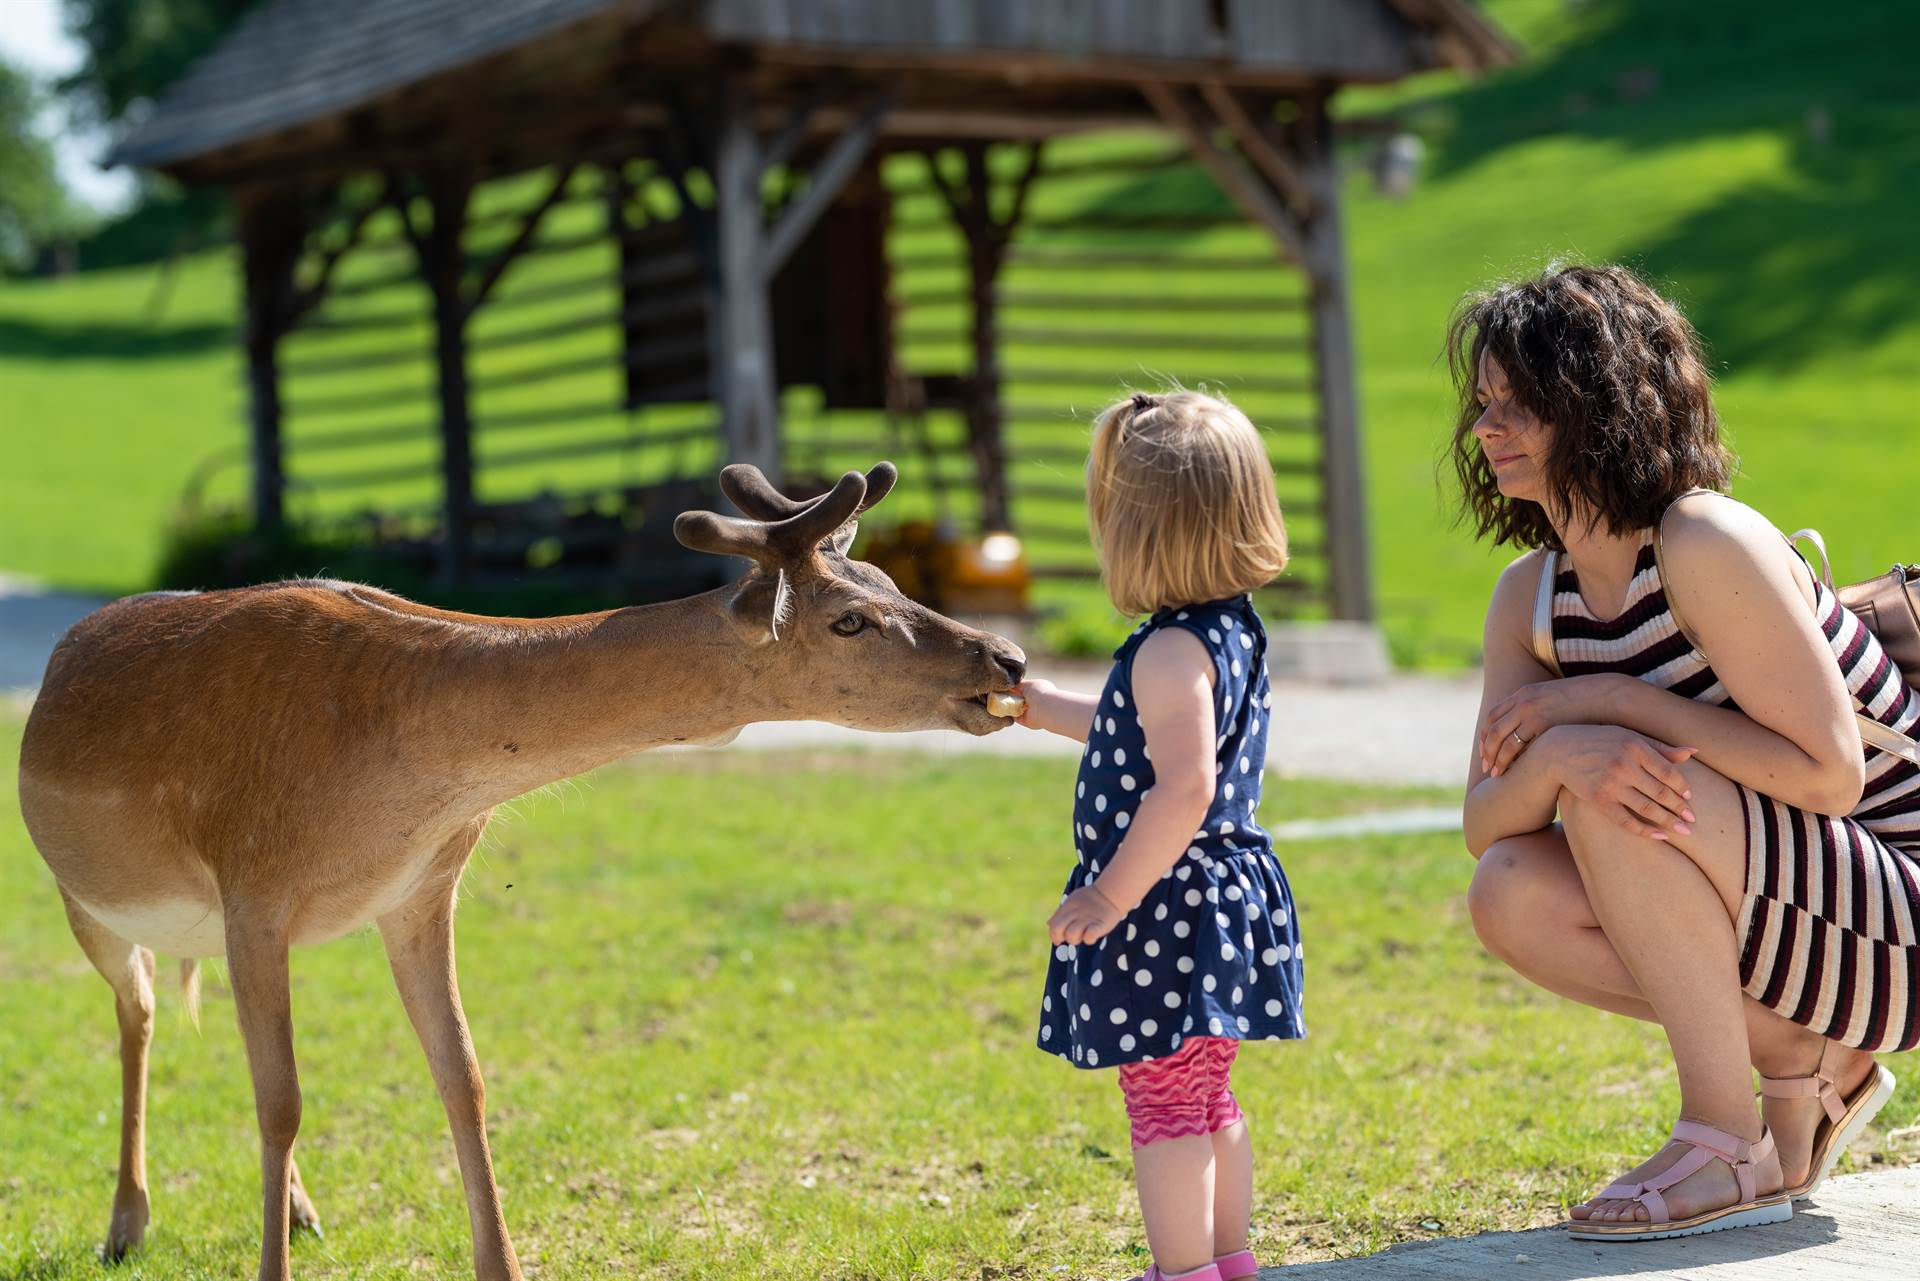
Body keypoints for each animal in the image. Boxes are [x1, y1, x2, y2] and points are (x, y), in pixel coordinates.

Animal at [15, 462, 1029, 1281]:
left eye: (892, 577)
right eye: (849, 618)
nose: (1009, 657)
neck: (394, 762)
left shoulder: (420, 888)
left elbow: (461, 1076)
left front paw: (497, 1260)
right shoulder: (255, 883)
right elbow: (283, 1102)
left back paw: (297, 1211)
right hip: (86, 900)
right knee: (139, 1007)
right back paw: (126, 1224)